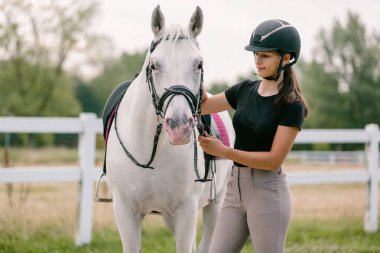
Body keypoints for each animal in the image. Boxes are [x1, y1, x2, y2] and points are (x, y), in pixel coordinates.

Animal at [104, 5, 235, 253]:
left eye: (199, 64)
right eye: (154, 65)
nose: (179, 126)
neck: (151, 151)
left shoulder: (186, 211)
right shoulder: (125, 211)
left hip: (216, 203)